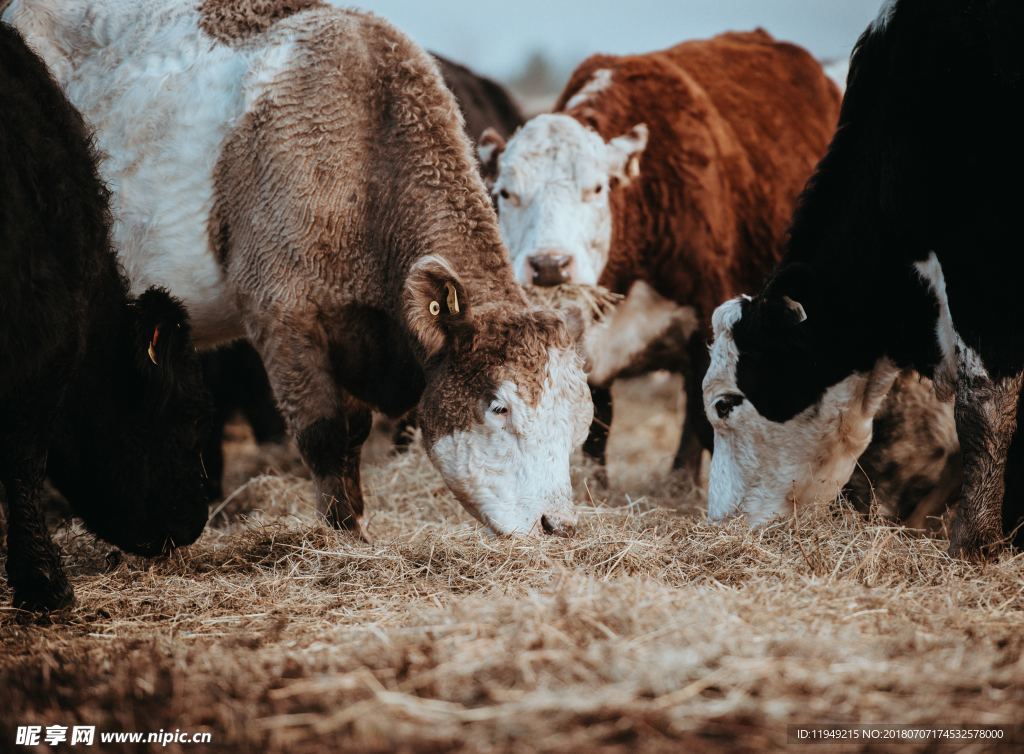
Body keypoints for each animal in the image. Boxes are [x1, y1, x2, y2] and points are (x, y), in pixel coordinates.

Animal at [4, 1, 593, 540]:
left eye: (579, 419)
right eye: (499, 407)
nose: (558, 524)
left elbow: (353, 433)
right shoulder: (281, 314)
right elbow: (324, 434)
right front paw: (344, 538)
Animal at [477, 29, 839, 483]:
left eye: (597, 188)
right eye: (506, 192)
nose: (549, 265)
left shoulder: (708, 321)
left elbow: (704, 415)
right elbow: (597, 420)